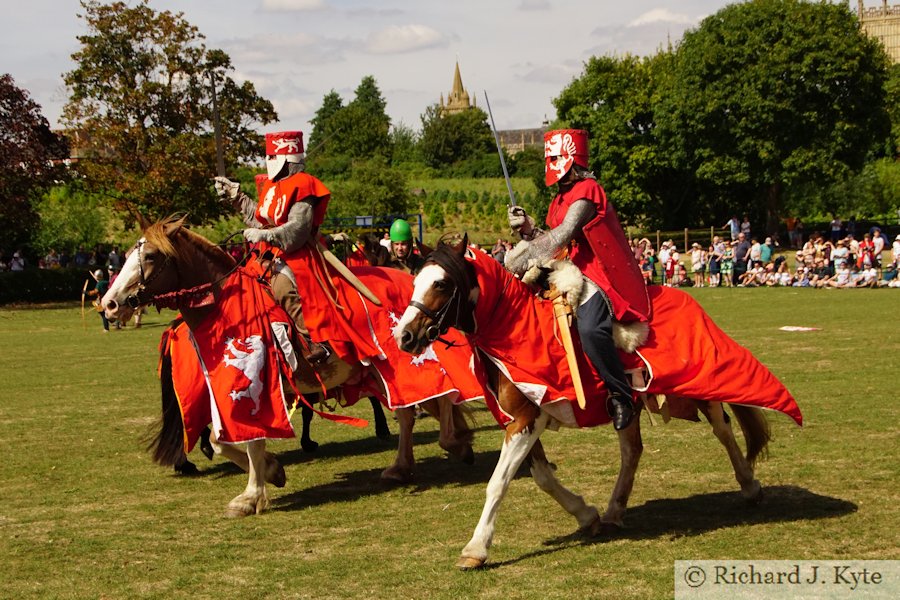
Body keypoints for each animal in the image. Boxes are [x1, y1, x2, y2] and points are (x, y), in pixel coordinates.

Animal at [103, 218, 478, 516]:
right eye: (126, 255)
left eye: (150, 256)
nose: (109, 304)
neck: (226, 307)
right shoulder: (229, 393)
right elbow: (224, 440)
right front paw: (271, 471)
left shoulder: (258, 387)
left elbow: (250, 440)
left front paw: (251, 495)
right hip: (382, 370)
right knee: (407, 412)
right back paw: (402, 465)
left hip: (406, 356)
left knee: (439, 394)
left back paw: (454, 441)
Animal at [394, 237, 800, 568]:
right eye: (414, 281)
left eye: (442, 283)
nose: (405, 336)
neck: (512, 327)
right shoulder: (525, 418)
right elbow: (542, 477)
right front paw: (585, 515)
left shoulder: (527, 418)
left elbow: (498, 483)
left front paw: (476, 549)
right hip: (628, 404)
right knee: (632, 450)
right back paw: (614, 510)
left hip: (701, 388)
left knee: (723, 430)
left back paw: (750, 486)